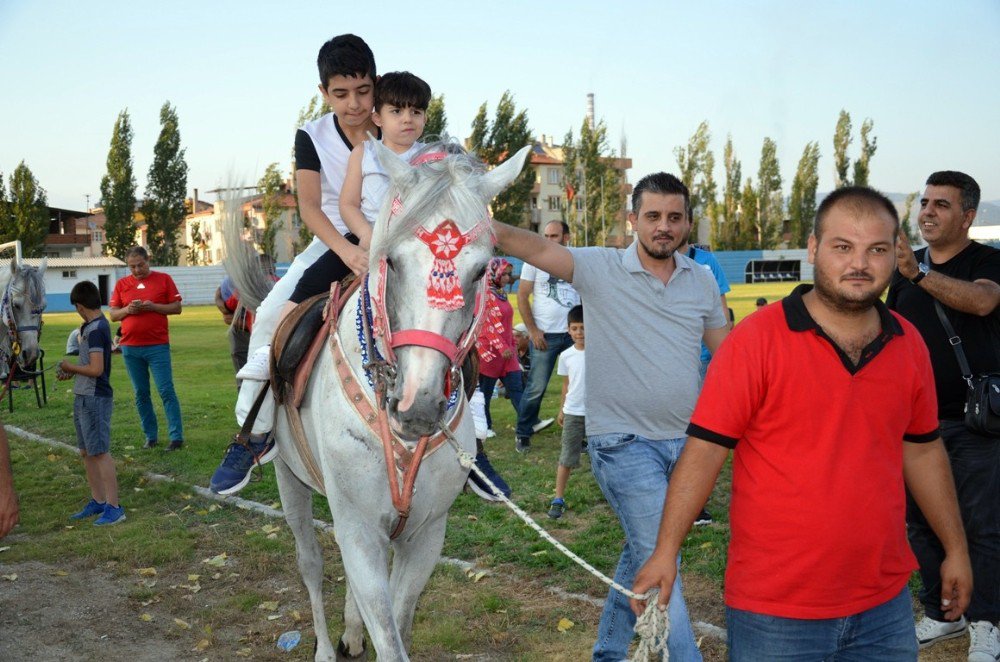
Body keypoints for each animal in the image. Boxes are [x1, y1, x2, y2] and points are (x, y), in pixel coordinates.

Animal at [256, 143, 532, 660]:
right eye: (394, 262)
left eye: (481, 270)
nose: (417, 407)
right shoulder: (359, 525)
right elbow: (387, 634)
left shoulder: (424, 534)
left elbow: (398, 622)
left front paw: (360, 628)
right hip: (288, 478)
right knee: (311, 563)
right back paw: (326, 647)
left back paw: (349, 631)